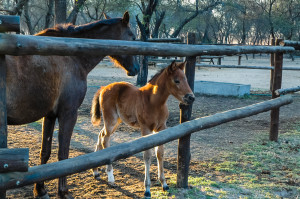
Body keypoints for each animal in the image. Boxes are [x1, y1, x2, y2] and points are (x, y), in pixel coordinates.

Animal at [5, 11, 139, 198]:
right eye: (132, 37)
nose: (136, 68)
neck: (72, 57)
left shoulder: (50, 115)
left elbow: (45, 152)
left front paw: (40, 190)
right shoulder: (68, 113)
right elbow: (63, 154)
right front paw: (63, 191)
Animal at [90, 61, 196, 197]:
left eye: (186, 79)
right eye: (176, 80)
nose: (191, 97)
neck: (154, 102)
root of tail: (103, 88)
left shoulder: (161, 129)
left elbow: (160, 153)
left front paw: (164, 184)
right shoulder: (146, 129)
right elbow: (147, 155)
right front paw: (147, 189)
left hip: (117, 121)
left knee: (101, 134)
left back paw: (96, 171)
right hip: (111, 119)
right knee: (105, 139)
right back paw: (111, 178)